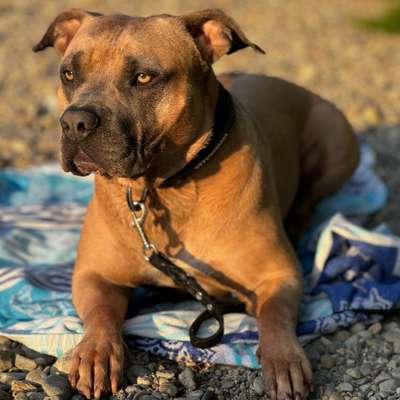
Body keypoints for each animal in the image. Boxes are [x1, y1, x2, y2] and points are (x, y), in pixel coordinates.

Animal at [34, 9, 360, 400]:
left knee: (313, 194)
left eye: (143, 77)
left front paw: (284, 360)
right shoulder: (95, 274)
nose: (74, 122)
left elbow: (275, 316)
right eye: (69, 74)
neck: (162, 189)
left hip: (337, 143)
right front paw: (96, 353)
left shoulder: (278, 275)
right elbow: (99, 314)